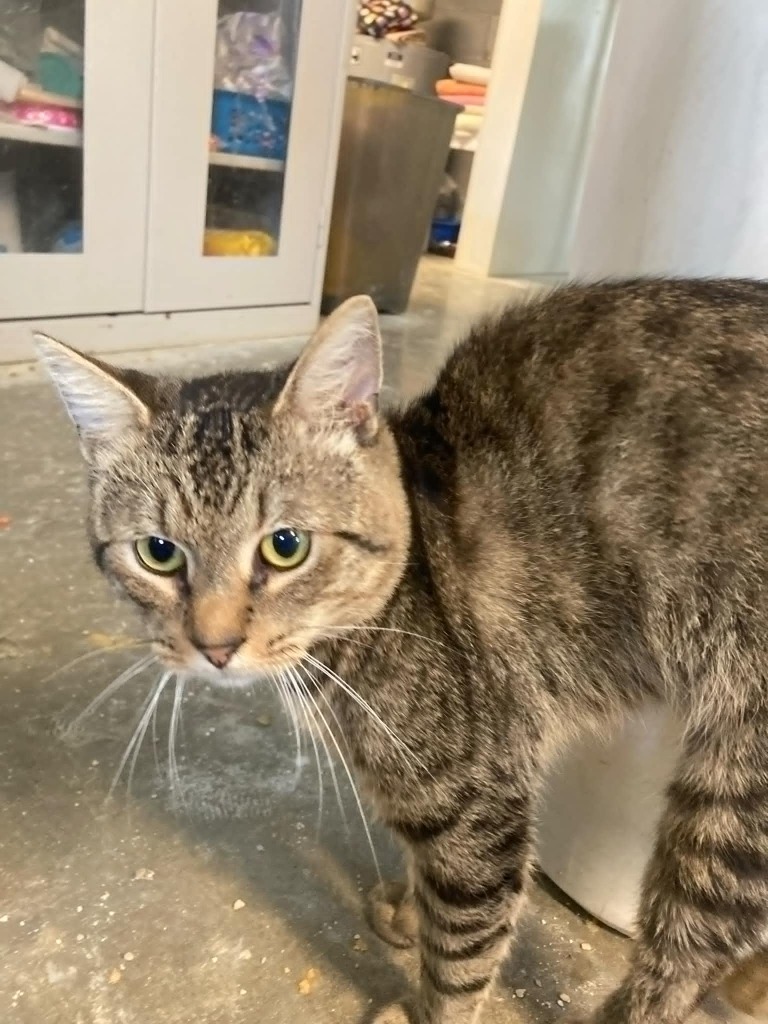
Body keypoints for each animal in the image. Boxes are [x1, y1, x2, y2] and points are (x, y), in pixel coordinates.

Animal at [37, 278, 768, 1024]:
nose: (215, 646)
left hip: (736, 786)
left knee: (686, 950)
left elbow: (463, 949)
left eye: (286, 545)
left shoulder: (478, 802)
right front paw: (412, 909)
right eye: (158, 553)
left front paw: (426, 1003)